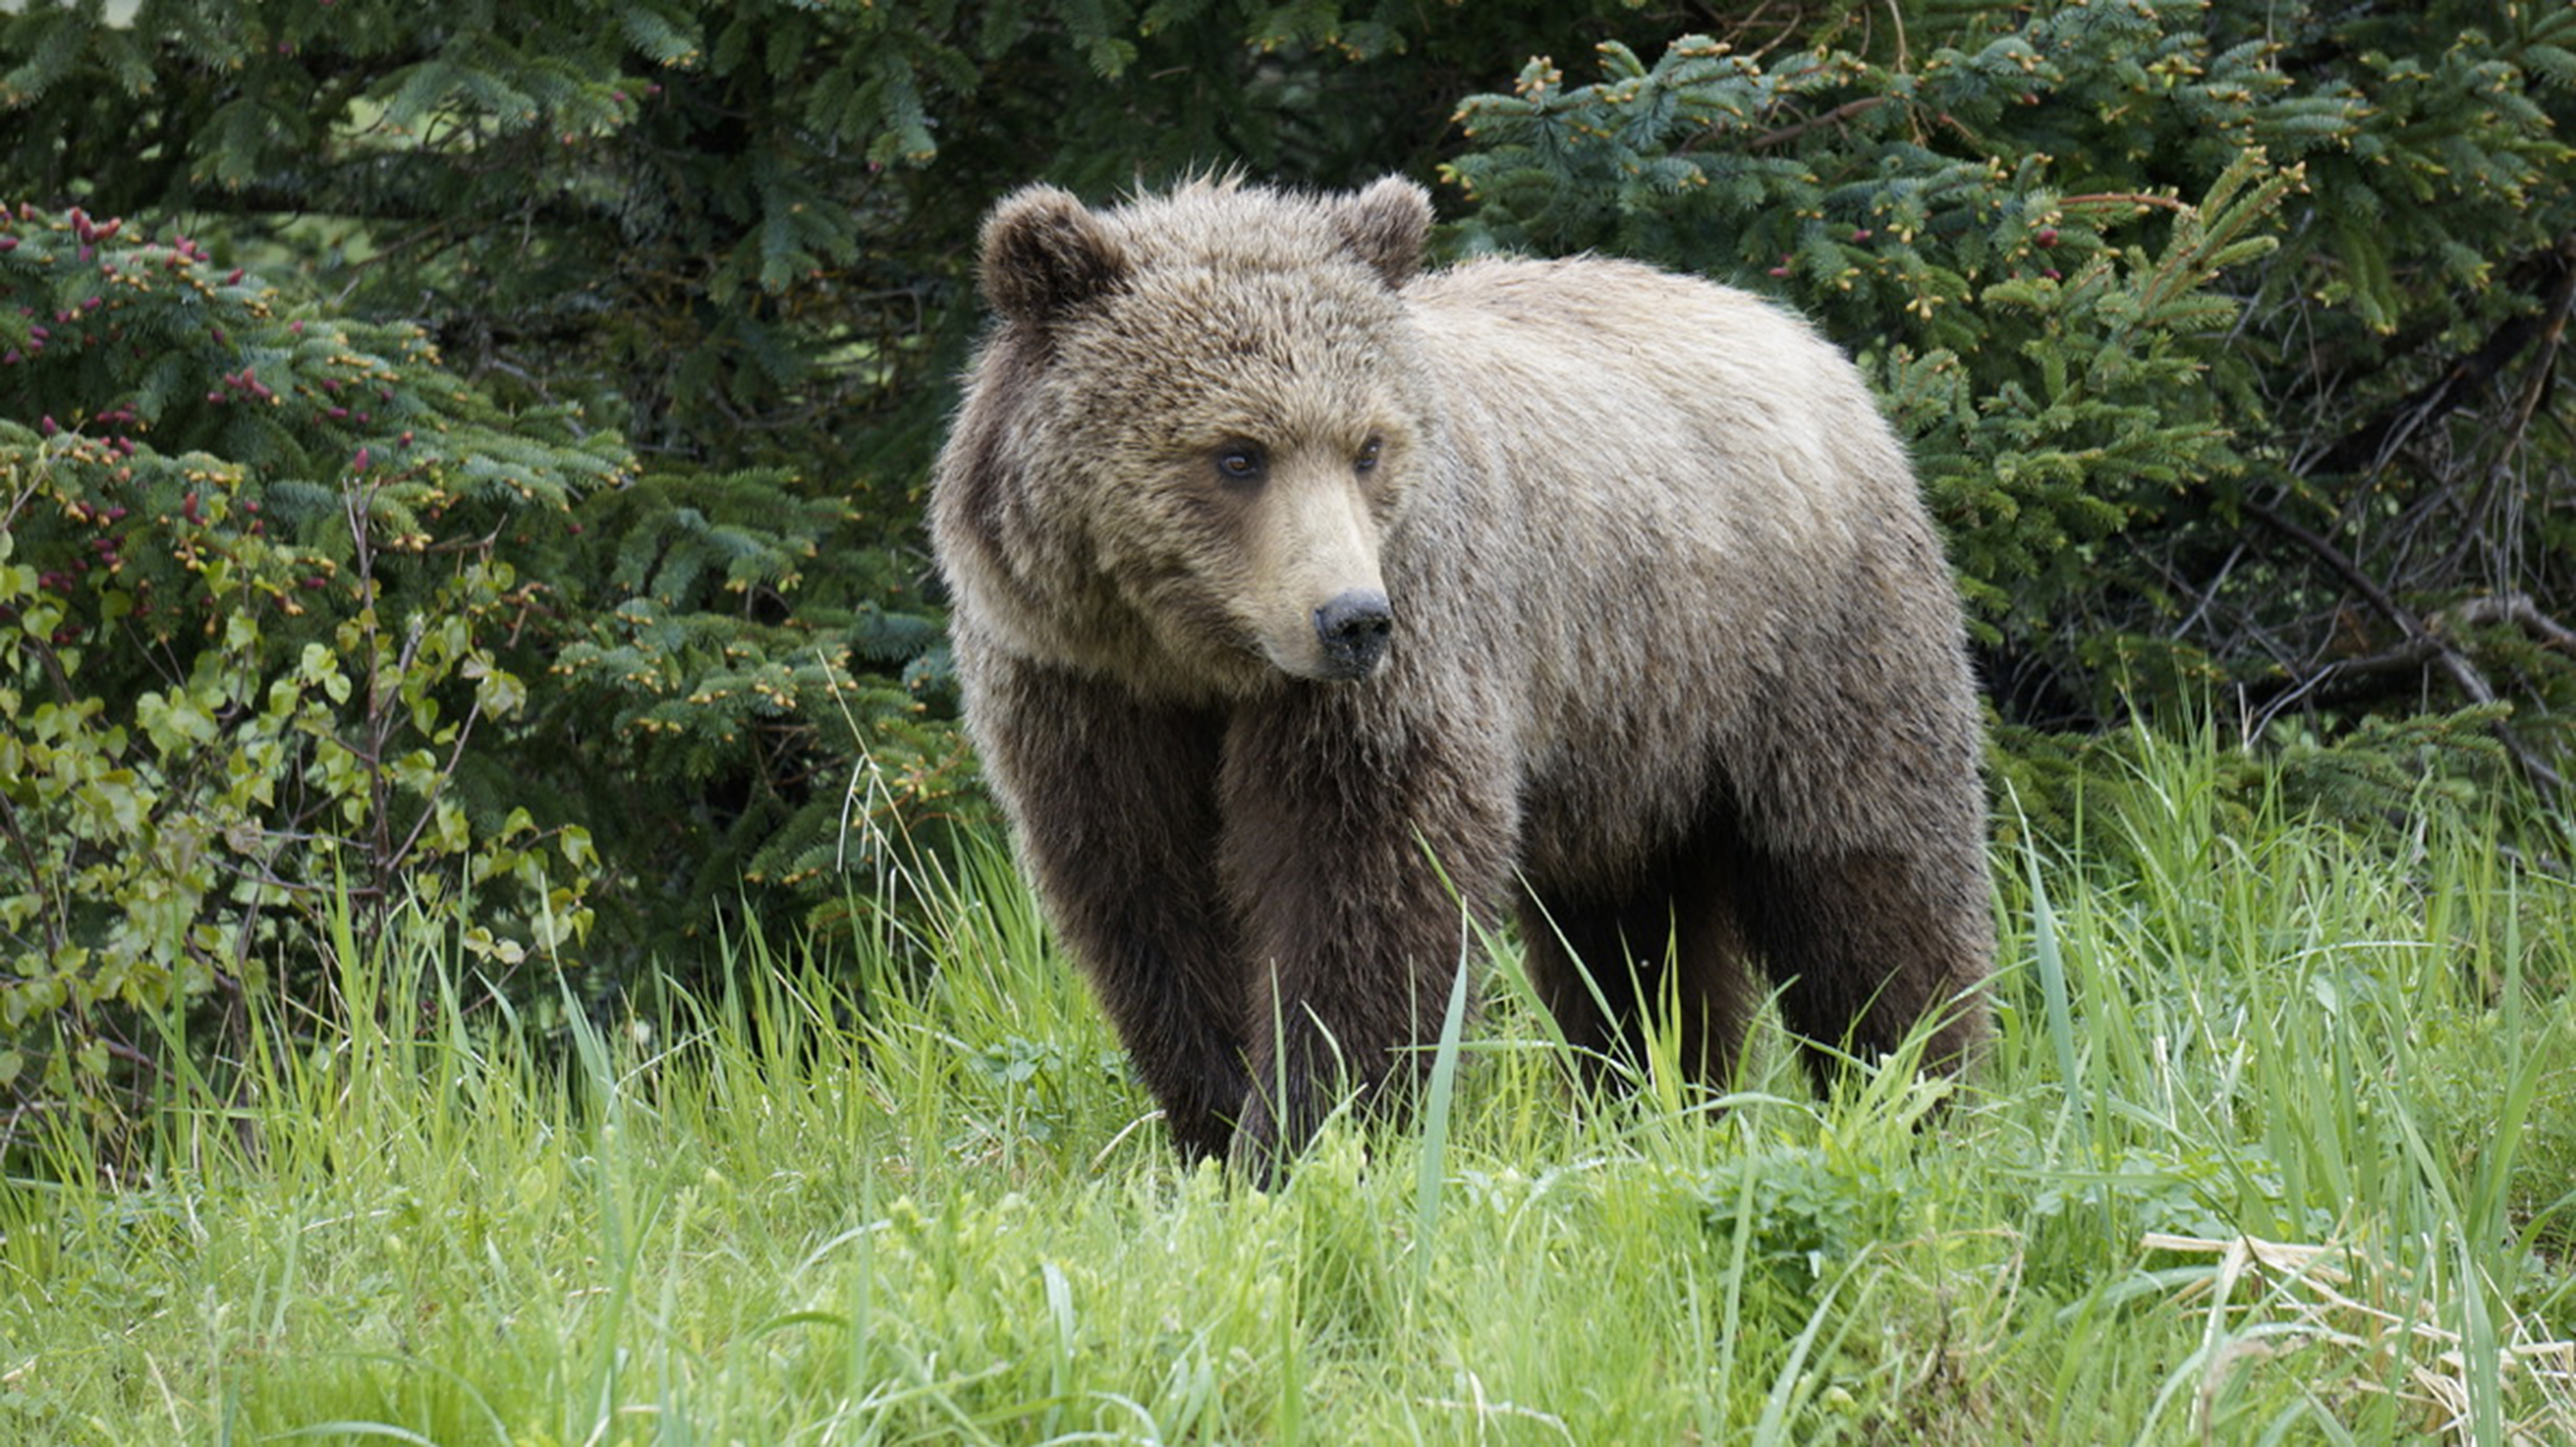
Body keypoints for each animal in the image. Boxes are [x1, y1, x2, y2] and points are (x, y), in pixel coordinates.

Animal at [932, 177, 1989, 1174]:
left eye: (1367, 444)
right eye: (1237, 453)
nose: (1351, 619)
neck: (1202, 661)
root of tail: (1802, 335)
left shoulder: (1401, 665)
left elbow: (1369, 888)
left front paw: (1317, 1129)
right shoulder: (1083, 689)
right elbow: (1149, 898)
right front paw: (1219, 1125)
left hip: (1801, 649)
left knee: (1867, 879)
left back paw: (1917, 1091)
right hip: (1633, 737)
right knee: (1630, 937)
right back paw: (1657, 1101)